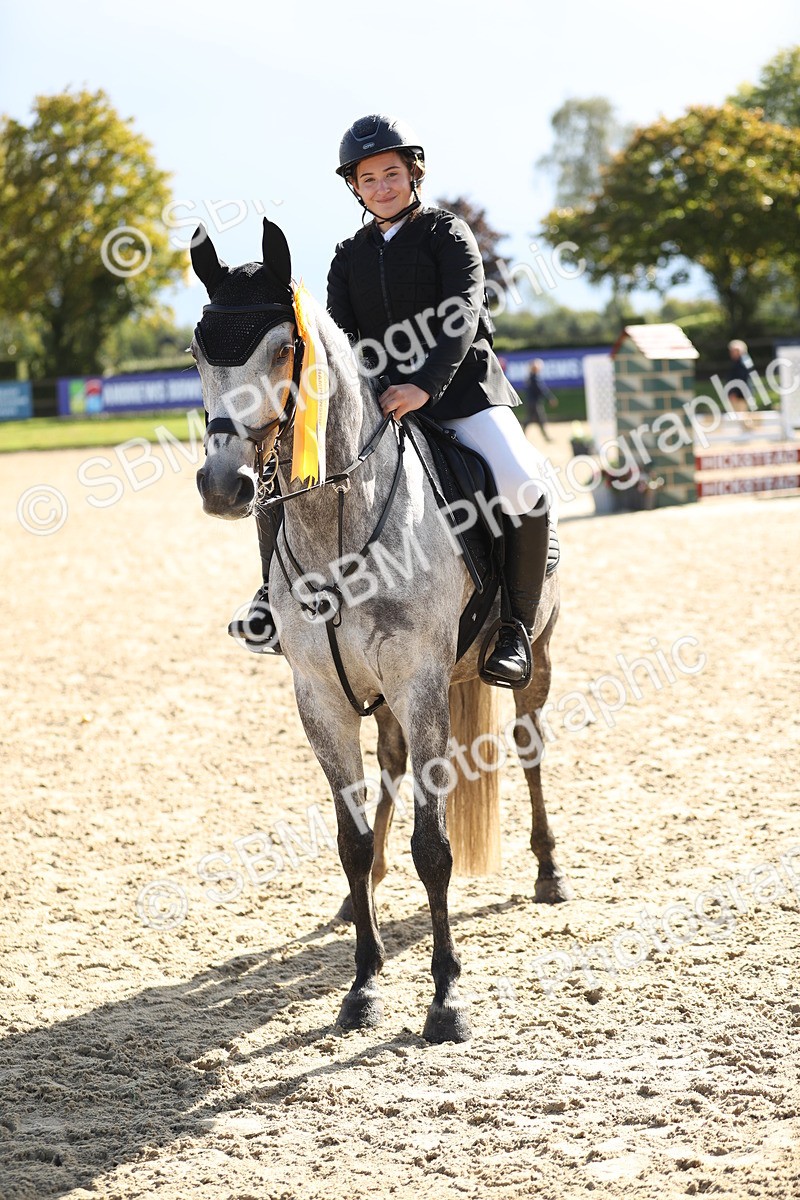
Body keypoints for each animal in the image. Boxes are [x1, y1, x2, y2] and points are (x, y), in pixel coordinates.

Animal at [191, 218, 571, 1044]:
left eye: (284, 349)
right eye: (197, 354)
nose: (225, 486)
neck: (337, 522)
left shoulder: (420, 683)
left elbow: (437, 847)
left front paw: (445, 999)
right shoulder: (321, 698)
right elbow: (351, 839)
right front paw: (364, 983)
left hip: (534, 656)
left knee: (528, 746)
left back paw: (549, 871)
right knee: (392, 771)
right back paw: (357, 901)